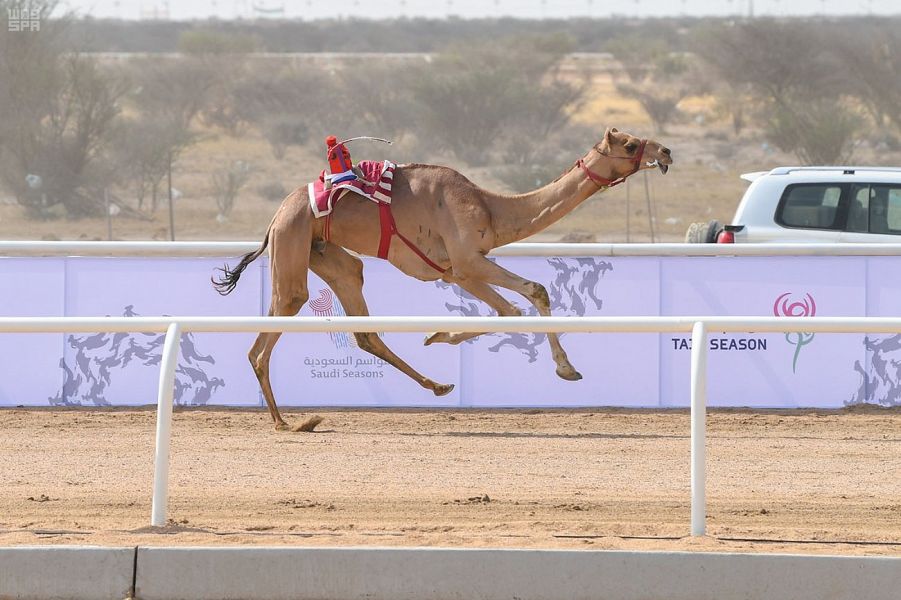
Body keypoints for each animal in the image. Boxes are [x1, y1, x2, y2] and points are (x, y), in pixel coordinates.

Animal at [214, 129, 672, 432]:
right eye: (631, 144)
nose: (666, 150)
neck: (490, 208)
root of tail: (276, 215)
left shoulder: (457, 268)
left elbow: (524, 299)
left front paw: (567, 369)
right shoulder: (467, 262)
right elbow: (518, 304)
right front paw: (441, 337)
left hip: (323, 251)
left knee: (360, 319)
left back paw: (437, 386)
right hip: (292, 240)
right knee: (282, 315)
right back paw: (286, 422)